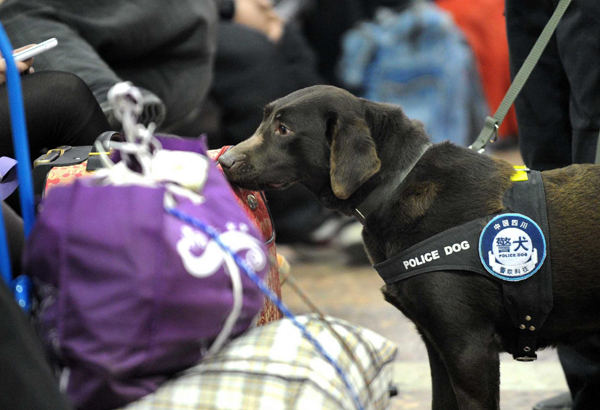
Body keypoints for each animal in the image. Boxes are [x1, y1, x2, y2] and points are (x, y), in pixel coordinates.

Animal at [218, 85, 600, 408]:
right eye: (264, 120)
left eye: (283, 130)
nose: (224, 160)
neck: (396, 183)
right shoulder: (438, 345)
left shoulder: (469, 348)